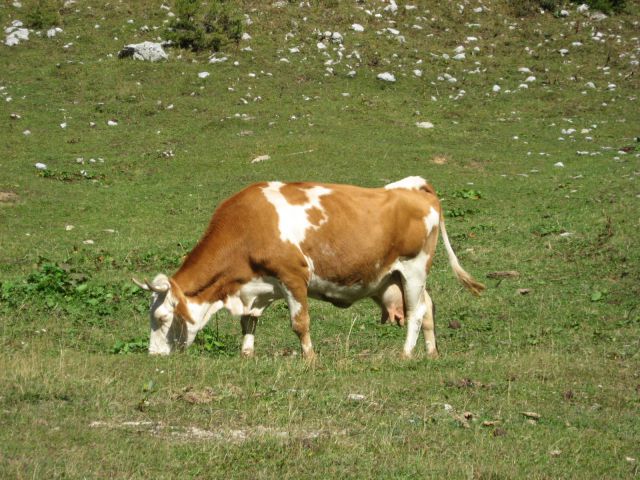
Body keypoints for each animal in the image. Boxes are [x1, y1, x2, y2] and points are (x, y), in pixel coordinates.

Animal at [135, 177, 484, 360]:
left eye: (162, 318)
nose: (153, 355)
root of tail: (411, 186)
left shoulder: (293, 277)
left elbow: (299, 323)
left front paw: (309, 359)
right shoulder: (257, 287)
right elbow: (249, 322)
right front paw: (247, 355)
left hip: (414, 268)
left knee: (415, 313)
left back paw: (406, 354)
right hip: (400, 276)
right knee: (428, 307)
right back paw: (431, 352)